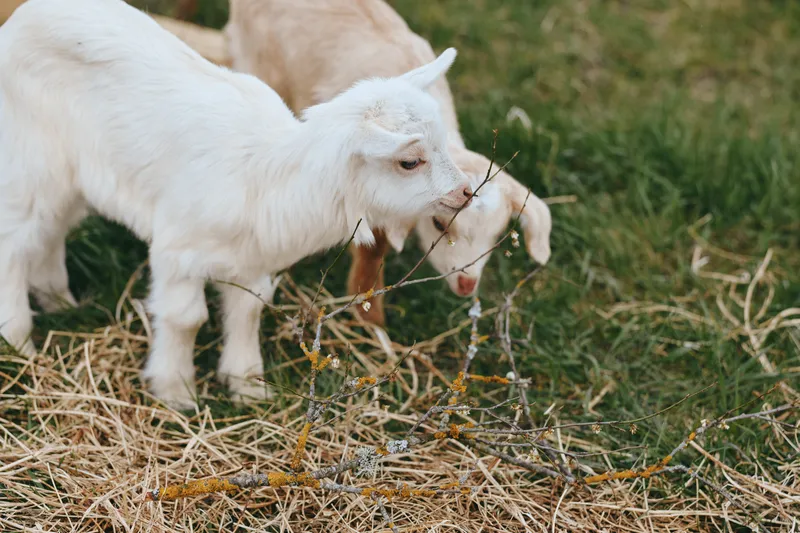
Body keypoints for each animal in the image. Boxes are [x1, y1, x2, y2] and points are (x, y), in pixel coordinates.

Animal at [0, 0, 471, 409]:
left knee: (52, 229)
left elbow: (248, 310)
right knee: (16, 241)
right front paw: (176, 392)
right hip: (32, 159)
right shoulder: (177, 250)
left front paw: (247, 386)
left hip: (73, 180)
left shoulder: (252, 260)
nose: (466, 192)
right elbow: (185, 318)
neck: (268, 177)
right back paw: (18, 340)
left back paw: (59, 301)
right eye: (409, 161)